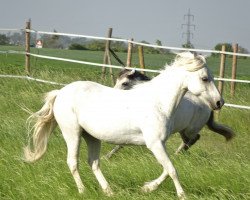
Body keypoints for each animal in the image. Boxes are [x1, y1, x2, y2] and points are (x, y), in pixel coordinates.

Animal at [23, 52, 223, 199]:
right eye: (205, 78)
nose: (219, 102)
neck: (158, 102)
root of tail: (61, 92)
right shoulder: (155, 144)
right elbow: (172, 169)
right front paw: (182, 195)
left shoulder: (160, 144)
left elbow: (168, 167)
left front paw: (147, 188)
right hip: (72, 133)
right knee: (73, 162)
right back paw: (83, 191)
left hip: (92, 137)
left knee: (93, 163)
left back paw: (108, 191)